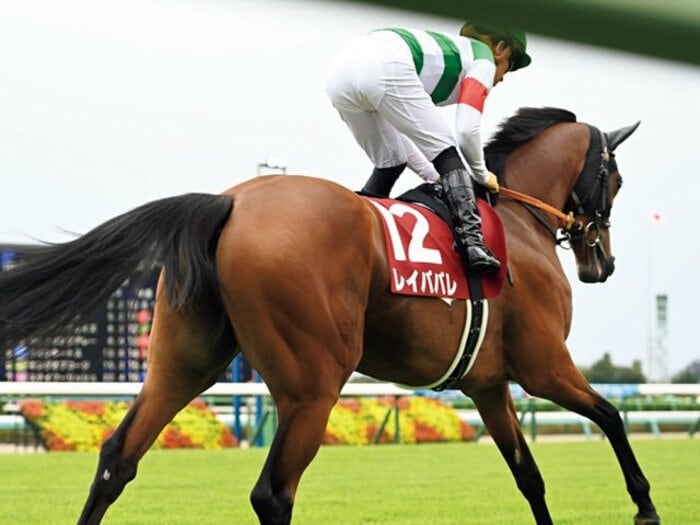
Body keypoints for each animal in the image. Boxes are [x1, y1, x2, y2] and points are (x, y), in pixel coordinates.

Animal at [0, 107, 659, 525]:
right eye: (618, 179)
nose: (602, 261)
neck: (518, 223)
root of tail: (229, 202)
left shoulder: (489, 384)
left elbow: (530, 477)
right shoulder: (543, 367)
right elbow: (610, 416)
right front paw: (645, 506)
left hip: (182, 362)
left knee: (117, 459)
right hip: (314, 384)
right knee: (273, 494)